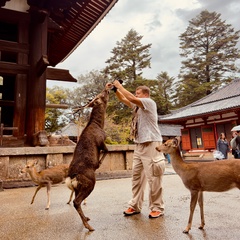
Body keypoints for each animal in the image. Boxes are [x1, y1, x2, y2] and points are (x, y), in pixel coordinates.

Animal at [65, 84, 111, 231]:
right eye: (101, 95)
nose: (107, 88)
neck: (99, 125)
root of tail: (72, 177)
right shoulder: (101, 141)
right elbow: (107, 150)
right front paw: (98, 163)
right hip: (90, 183)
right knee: (76, 201)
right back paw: (88, 226)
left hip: (77, 187)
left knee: (76, 201)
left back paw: (86, 219)